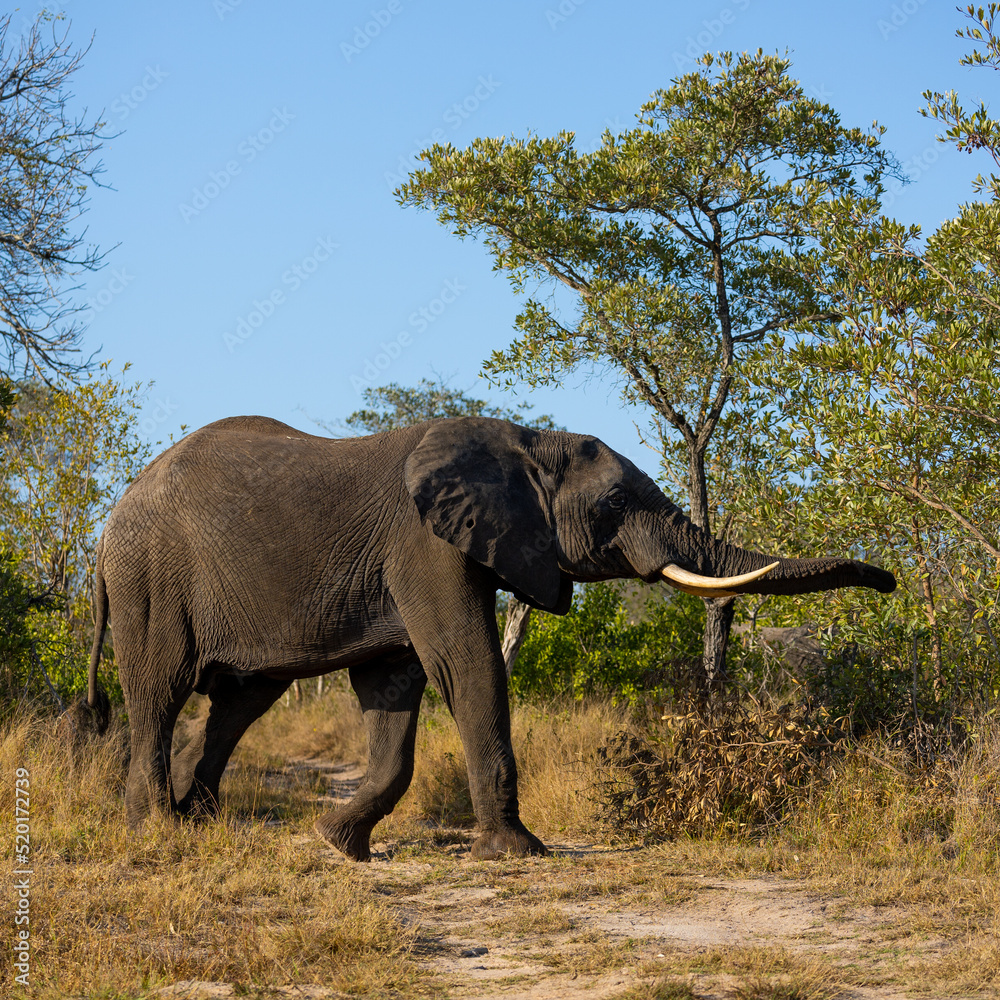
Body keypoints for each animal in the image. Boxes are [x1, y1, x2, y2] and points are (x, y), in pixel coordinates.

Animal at [84, 415, 895, 861]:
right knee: (159, 692)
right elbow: (464, 662)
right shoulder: (425, 544)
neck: (526, 440)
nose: (887, 581)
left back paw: (194, 820)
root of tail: (109, 520)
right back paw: (155, 830)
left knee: (239, 701)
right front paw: (519, 853)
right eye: (616, 503)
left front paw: (338, 845)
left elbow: (394, 689)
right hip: (149, 581)